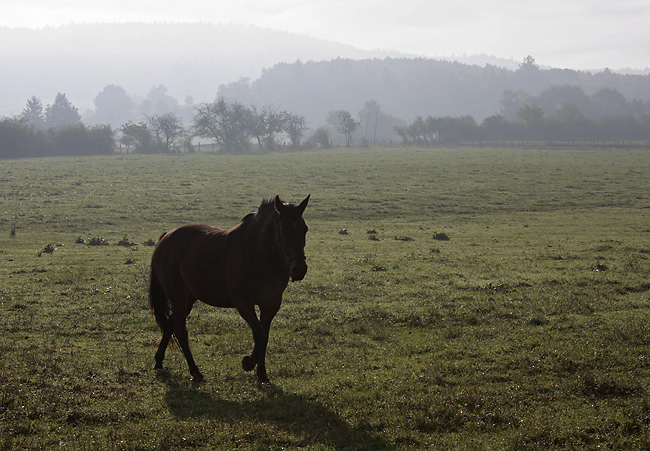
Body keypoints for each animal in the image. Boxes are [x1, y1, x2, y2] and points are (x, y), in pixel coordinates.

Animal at [149, 196, 308, 384]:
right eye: (283, 230)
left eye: (305, 229)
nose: (299, 270)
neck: (259, 254)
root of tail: (166, 237)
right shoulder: (243, 304)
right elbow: (259, 334)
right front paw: (248, 363)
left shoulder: (271, 304)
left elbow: (265, 336)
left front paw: (261, 372)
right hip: (177, 296)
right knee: (180, 331)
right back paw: (195, 372)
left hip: (188, 298)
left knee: (170, 324)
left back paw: (159, 360)